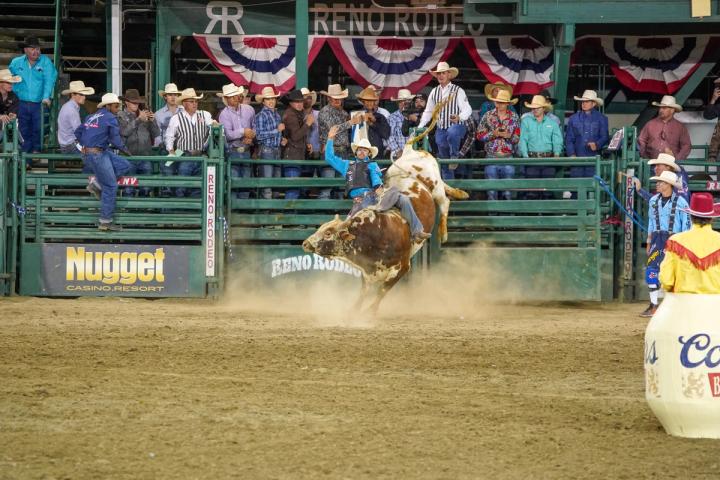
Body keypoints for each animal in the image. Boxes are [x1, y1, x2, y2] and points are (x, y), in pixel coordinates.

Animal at [302, 143, 468, 314]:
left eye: (328, 233)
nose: (305, 243)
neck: (376, 236)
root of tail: (411, 150)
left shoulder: (403, 268)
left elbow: (381, 291)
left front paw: (370, 312)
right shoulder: (368, 272)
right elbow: (363, 293)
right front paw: (353, 311)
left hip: (435, 186)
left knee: (445, 202)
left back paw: (444, 233)